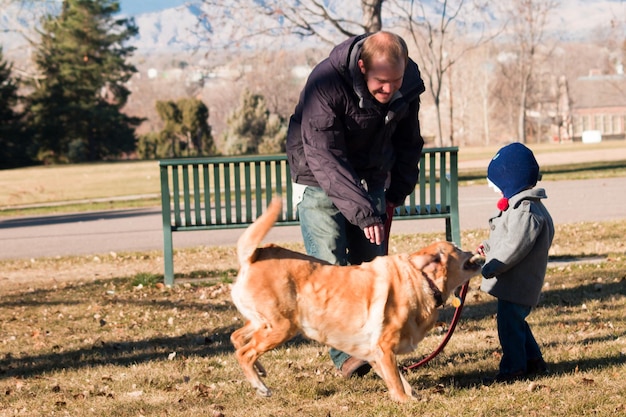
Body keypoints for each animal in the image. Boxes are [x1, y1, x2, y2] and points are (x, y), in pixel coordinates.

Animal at [232, 197, 480, 402]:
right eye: (457, 249)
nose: (474, 251)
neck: (421, 279)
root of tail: (254, 255)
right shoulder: (384, 348)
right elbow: (397, 381)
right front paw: (404, 400)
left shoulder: (376, 353)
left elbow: (399, 379)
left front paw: (411, 396)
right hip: (282, 327)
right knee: (244, 353)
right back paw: (260, 385)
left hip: (265, 323)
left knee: (237, 338)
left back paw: (260, 369)